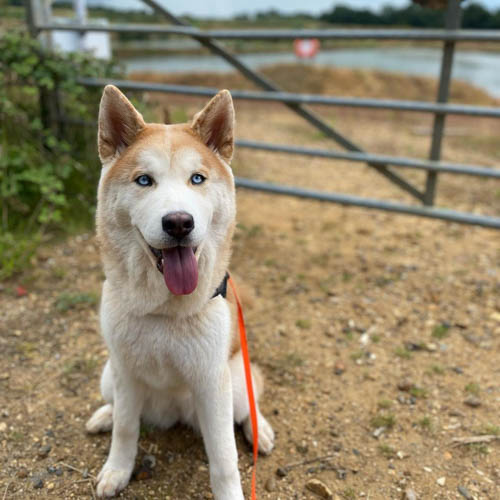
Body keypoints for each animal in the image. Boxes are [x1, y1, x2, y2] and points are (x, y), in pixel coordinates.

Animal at [85, 87, 274, 500]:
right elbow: (127, 429)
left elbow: (224, 460)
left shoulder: (212, 384)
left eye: (197, 179)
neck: (163, 312)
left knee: (247, 410)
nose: (178, 222)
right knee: (119, 410)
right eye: (144, 181)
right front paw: (117, 470)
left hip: (236, 383)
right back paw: (104, 415)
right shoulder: (125, 371)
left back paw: (260, 431)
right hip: (108, 375)